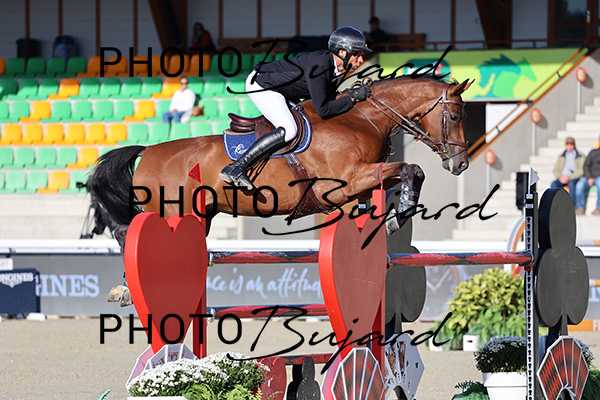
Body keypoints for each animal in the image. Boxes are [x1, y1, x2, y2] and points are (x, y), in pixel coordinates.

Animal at [89, 76, 473, 243]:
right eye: (455, 116)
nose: (460, 164)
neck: (359, 119)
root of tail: (148, 150)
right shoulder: (345, 181)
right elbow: (413, 168)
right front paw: (399, 215)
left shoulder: (360, 183)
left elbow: (404, 175)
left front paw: (397, 214)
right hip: (173, 213)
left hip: (201, 216)